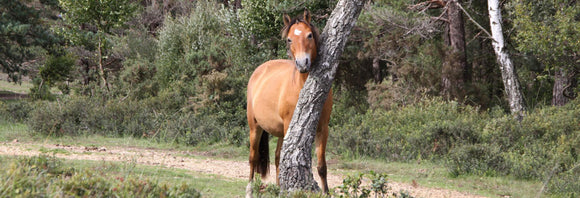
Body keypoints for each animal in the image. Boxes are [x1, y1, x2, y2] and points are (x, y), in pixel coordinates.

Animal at [245, 9, 334, 193]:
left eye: (309, 35)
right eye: (289, 39)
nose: (302, 63)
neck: (300, 87)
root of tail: (260, 70)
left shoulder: (323, 128)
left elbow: (322, 166)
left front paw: (327, 192)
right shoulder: (290, 127)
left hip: (280, 131)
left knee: (278, 157)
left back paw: (280, 188)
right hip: (255, 127)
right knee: (253, 157)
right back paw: (250, 188)